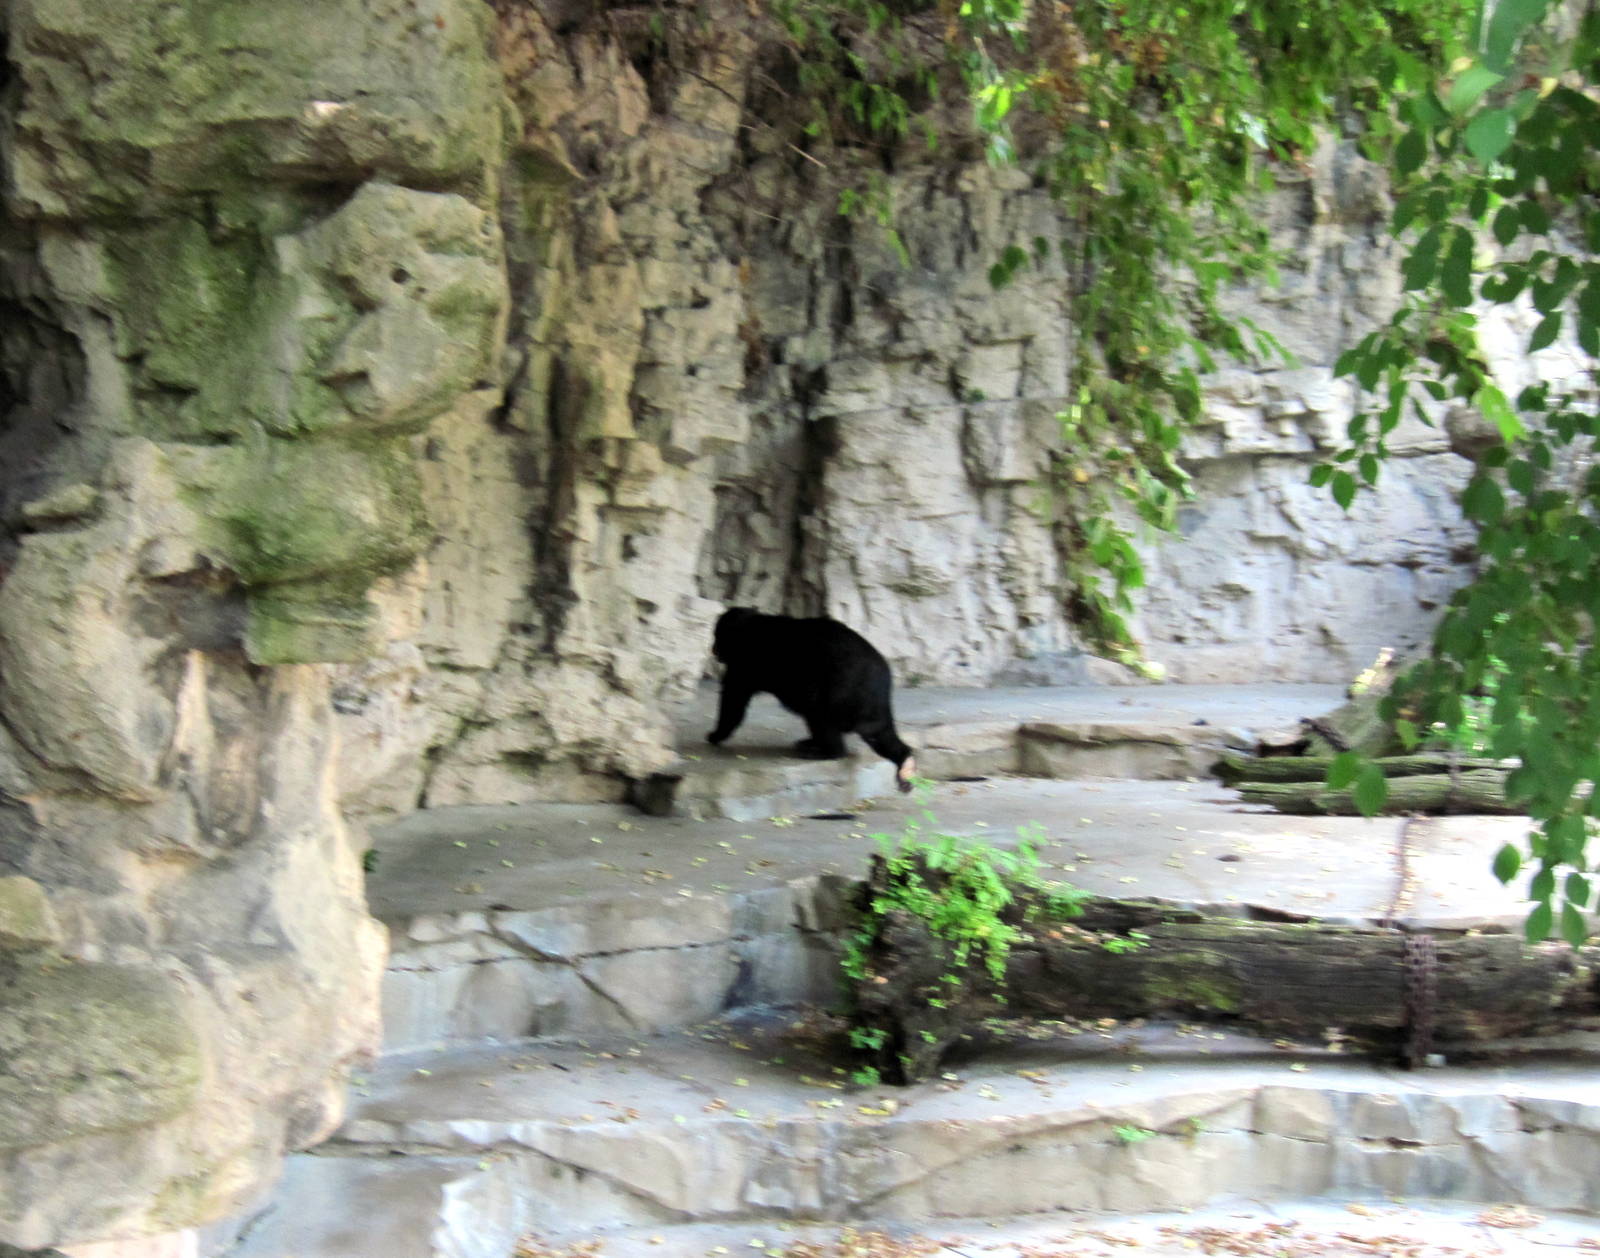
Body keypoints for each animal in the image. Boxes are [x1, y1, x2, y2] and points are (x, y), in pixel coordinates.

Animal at [706, 606, 917, 792]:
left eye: (717, 635)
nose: (713, 649)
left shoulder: (746, 662)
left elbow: (734, 698)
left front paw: (715, 734)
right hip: (867, 707)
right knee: (881, 735)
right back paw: (905, 767)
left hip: (838, 691)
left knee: (821, 718)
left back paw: (819, 750)